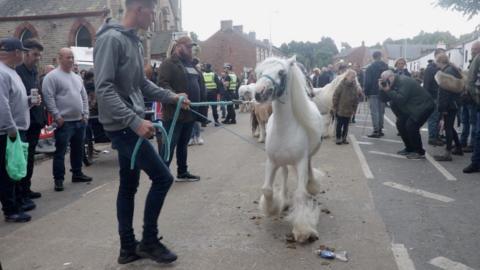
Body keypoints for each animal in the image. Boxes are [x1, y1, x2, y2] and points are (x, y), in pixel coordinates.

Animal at [253, 56, 324, 243]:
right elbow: (267, 189)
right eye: (259, 72)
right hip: (282, 162)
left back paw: (311, 186)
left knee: (308, 171)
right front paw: (272, 208)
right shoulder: (271, 162)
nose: (259, 93)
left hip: (307, 158)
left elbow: (300, 194)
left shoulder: (300, 162)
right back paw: (284, 201)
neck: (284, 128)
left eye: (281, 72)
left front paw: (302, 230)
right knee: (284, 174)